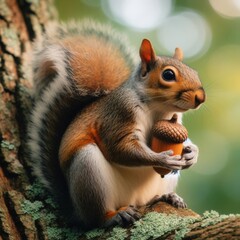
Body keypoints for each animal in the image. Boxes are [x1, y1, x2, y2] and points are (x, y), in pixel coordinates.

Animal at [27, 21, 205, 230]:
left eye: (195, 73)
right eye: (168, 74)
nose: (201, 97)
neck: (159, 109)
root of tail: (75, 211)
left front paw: (192, 153)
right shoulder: (120, 114)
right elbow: (120, 147)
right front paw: (162, 159)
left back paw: (168, 196)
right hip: (88, 171)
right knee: (95, 217)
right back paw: (113, 216)